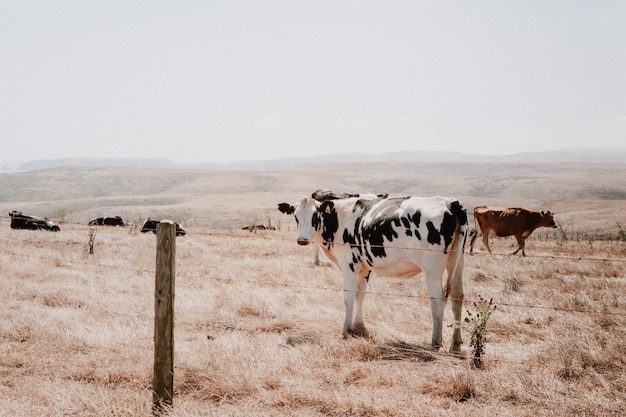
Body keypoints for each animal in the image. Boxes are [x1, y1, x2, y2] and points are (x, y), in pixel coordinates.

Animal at [276, 195, 466, 352]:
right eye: (295, 216)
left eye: (315, 216)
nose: (302, 240)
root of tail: (448, 201)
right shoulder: (364, 268)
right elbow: (361, 295)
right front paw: (359, 327)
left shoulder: (349, 265)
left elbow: (349, 298)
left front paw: (346, 330)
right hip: (457, 263)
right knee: (457, 297)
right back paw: (455, 345)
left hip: (432, 269)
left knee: (438, 301)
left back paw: (436, 342)